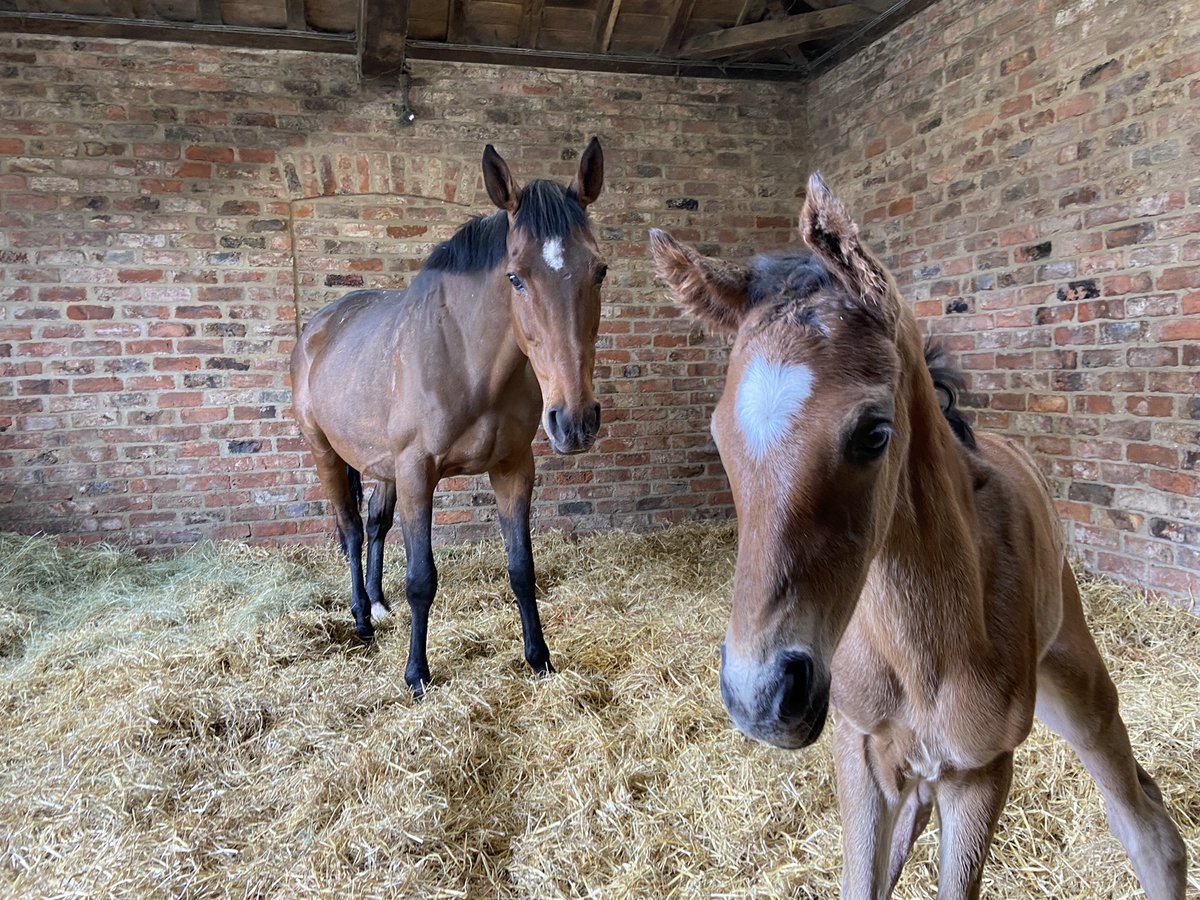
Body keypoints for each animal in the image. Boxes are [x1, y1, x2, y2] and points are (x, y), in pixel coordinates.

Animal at [291, 141, 609, 696]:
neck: (465, 360)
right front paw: (416, 674)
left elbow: (522, 569)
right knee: (350, 530)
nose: (575, 420)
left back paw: (378, 602)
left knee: (374, 522)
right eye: (515, 277)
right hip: (325, 451)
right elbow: (422, 578)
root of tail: (319, 326)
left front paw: (539, 659)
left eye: (600, 271)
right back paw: (361, 619)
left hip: (383, 466)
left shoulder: (512, 468)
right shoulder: (417, 472)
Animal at [652, 172, 1185, 897]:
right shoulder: (859, 749)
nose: (759, 696)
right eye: (720, 436)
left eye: (875, 433)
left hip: (1074, 680)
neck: (920, 646)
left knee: (1146, 825)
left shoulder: (979, 772)